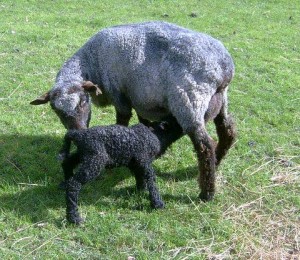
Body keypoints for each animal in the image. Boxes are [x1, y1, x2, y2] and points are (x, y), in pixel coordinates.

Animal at [30, 21, 237, 201]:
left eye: (83, 101)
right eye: (55, 109)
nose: (78, 132)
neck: (93, 59)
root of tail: (225, 67)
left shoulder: (119, 95)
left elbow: (122, 121)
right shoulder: (140, 98)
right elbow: (143, 121)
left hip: (189, 102)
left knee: (205, 146)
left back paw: (206, 192)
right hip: (220, 100)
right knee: (228, 131)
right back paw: (217, 162)